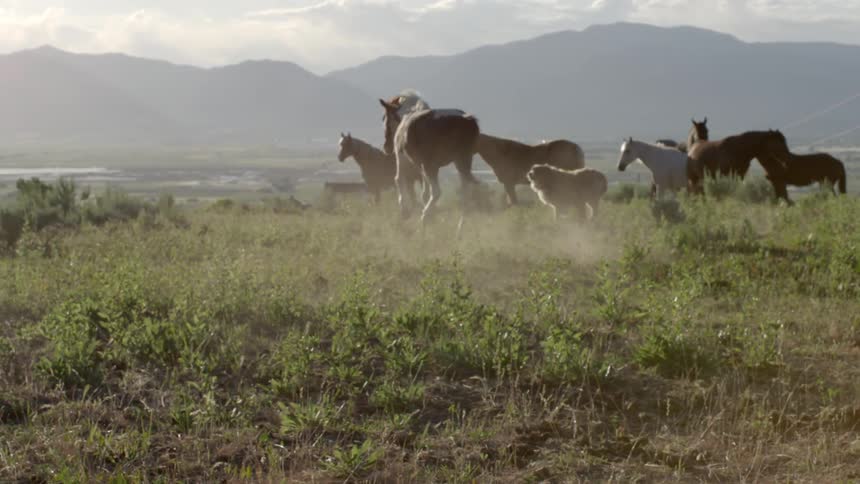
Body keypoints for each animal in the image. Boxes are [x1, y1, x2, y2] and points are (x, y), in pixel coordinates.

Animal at [379, 91, 480, 223]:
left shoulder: (403, 160)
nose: (386, 147)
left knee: (437, 191)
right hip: (461, 162)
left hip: (431, 166)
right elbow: (424, 193)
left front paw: (404, 210)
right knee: (465, 193)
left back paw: (425, 216)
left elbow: (398, 179)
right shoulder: (422, 168)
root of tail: (466, 120)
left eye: (385, 118)